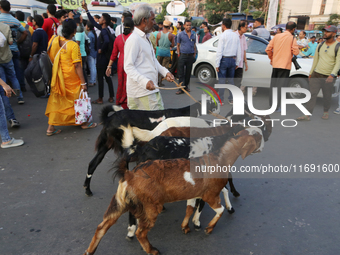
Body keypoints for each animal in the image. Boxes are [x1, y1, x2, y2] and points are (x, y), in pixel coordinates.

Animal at [83, 132, 262, 254]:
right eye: (256, 138)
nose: (262, 145)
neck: (219, 159)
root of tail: (129, 175)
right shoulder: (210, 195)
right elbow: (219, 210)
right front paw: (208, 228)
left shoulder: (192, 193)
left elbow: (190, 208)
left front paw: (186, 227)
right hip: (150, 207)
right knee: (141, 232)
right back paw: (152, 250)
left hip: (119, 203)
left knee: (102, 227)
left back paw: (90, 251)